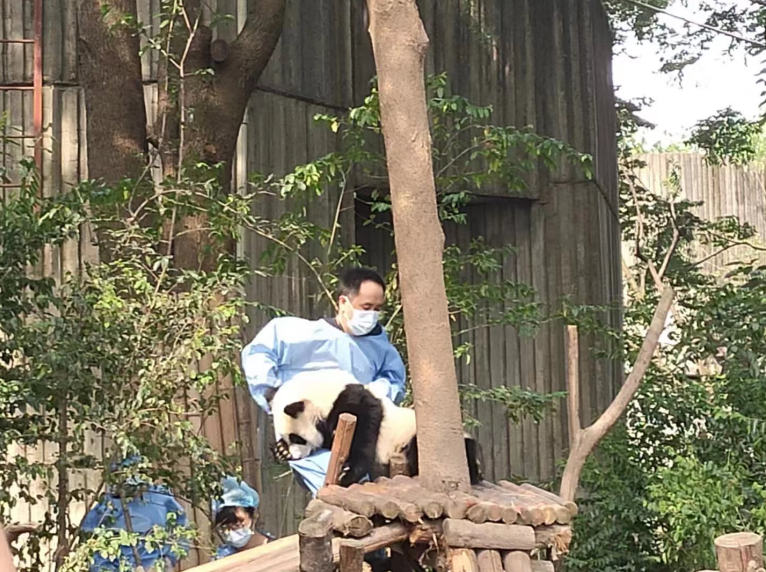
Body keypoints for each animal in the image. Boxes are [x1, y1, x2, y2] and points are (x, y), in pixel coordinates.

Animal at [264, 375, 483, 487]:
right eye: (287, 438)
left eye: (297, 438)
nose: (295, 455)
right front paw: (280, 451)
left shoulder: (357, 406)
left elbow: (364, 439)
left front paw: (347, 473)